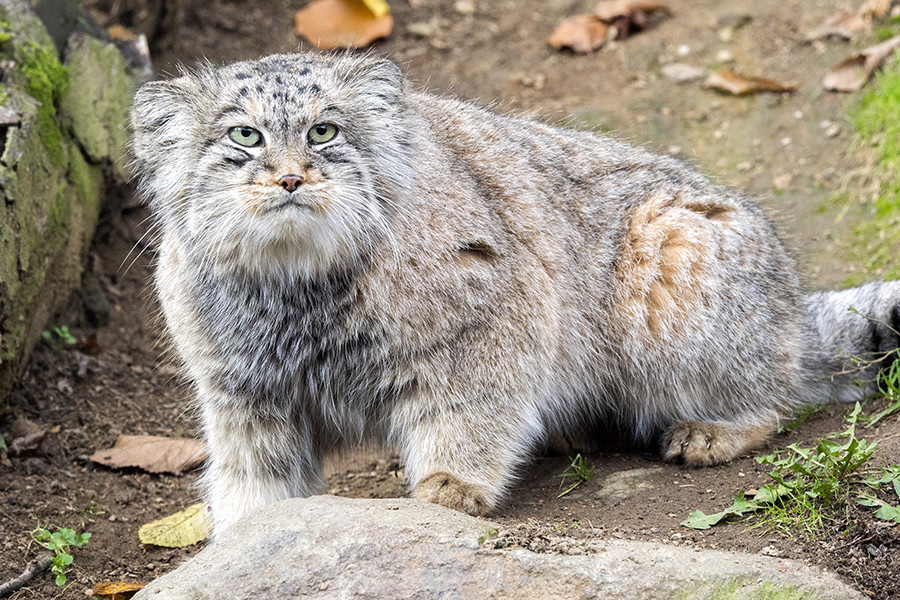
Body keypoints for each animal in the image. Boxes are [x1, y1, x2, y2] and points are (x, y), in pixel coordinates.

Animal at [128, 51, 900, 536]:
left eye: (324, 130)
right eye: (244, 135)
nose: (290, 177)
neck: (297, 289)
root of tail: (792, 308)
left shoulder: (492, 327)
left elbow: (469, 413)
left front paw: (451, 485)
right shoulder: (242, 393)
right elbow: (253, 475)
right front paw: (243, 530)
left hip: (670, 251)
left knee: (777, 392)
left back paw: (717, 427)